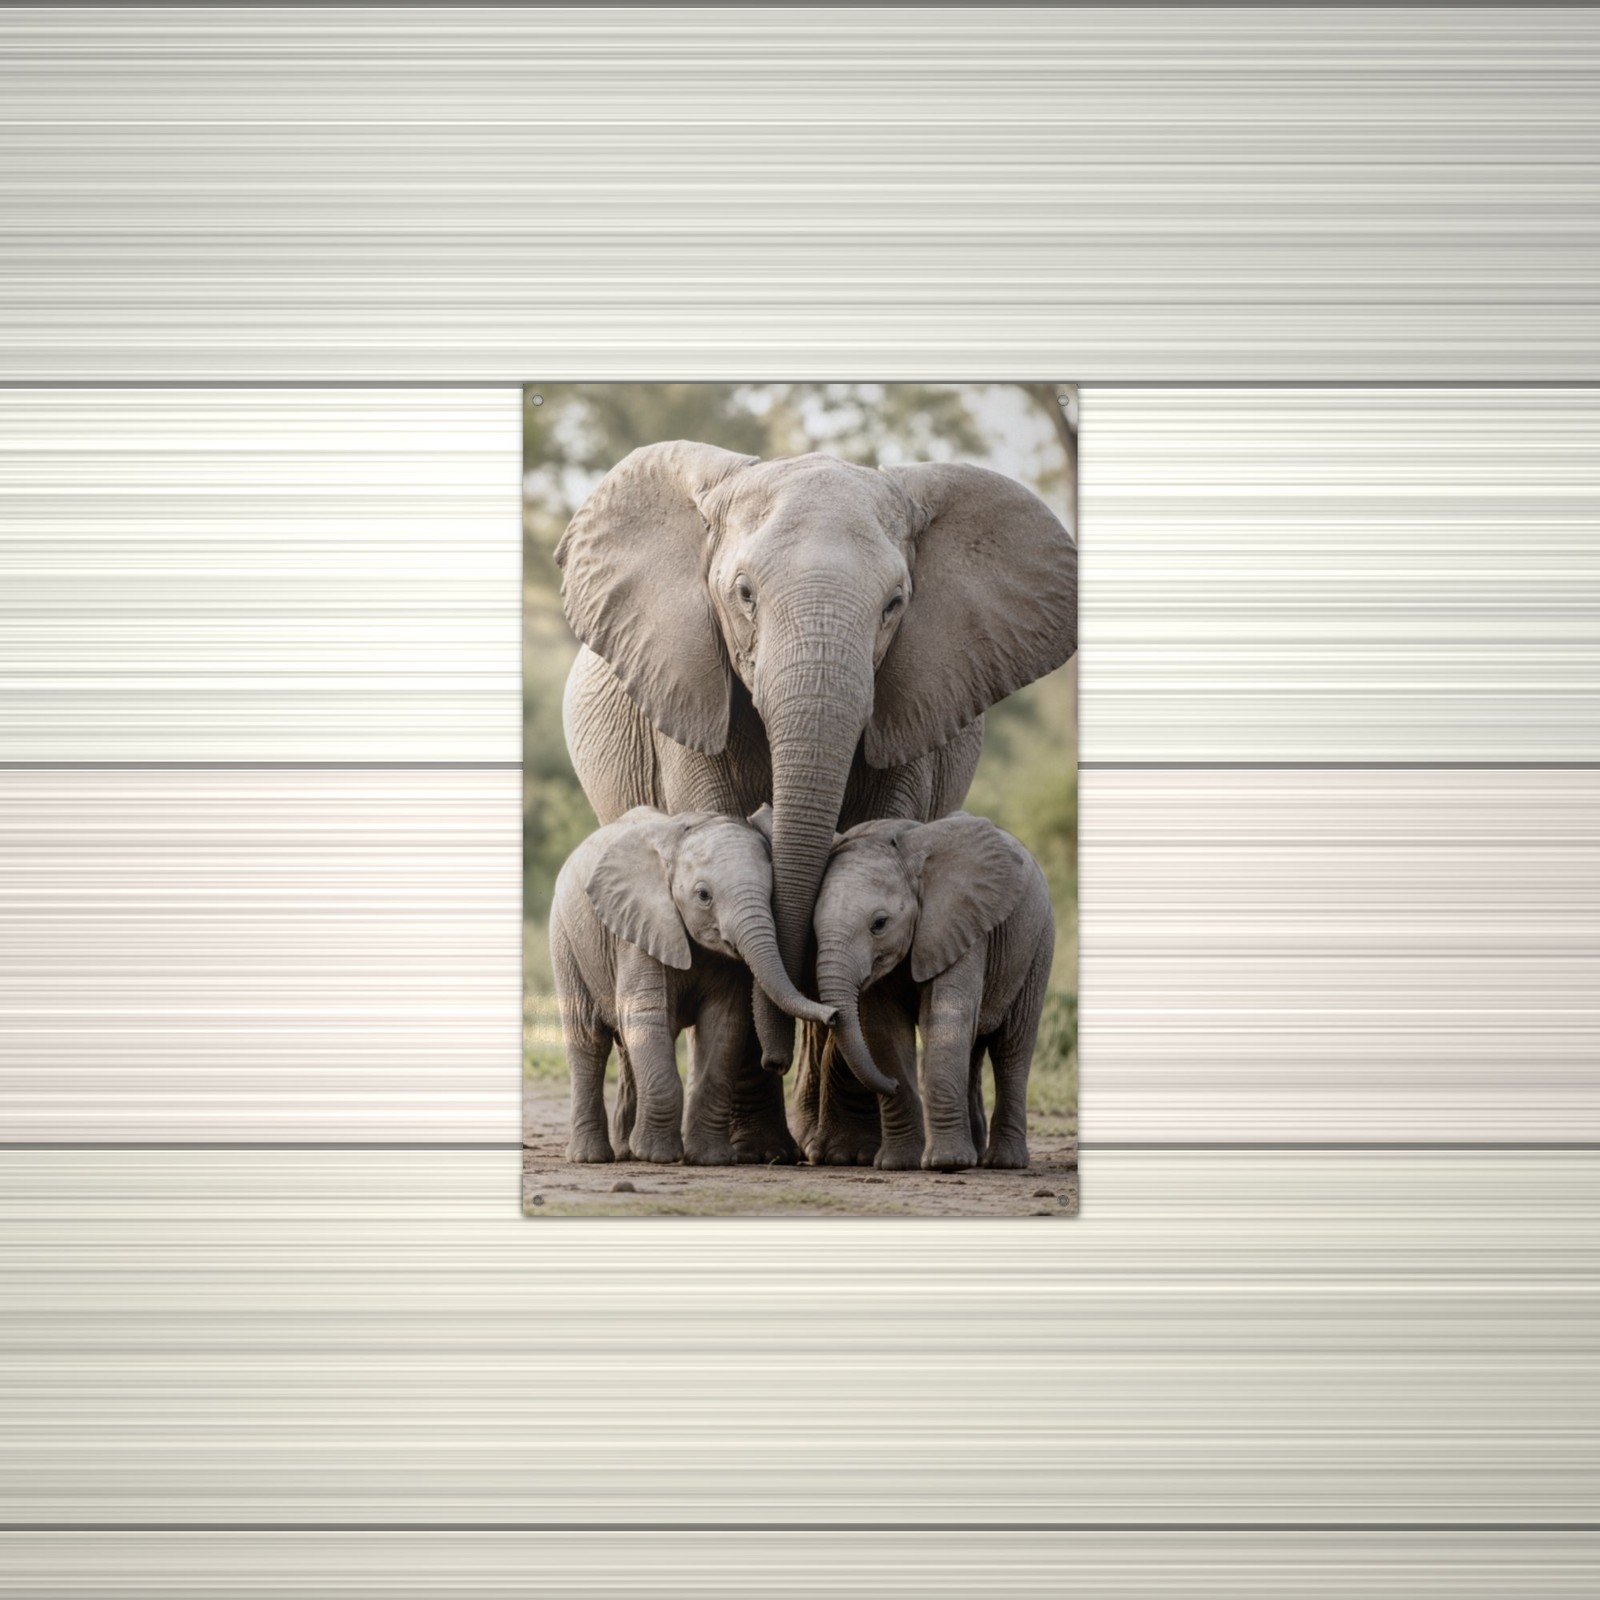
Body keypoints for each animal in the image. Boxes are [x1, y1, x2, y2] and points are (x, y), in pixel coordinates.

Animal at [549, 807, 835, 1165]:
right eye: (703, 896)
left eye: (772, 894)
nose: (834, 1015)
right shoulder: (640, 929)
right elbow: (647, 1016)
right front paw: (657, 1156)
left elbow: (724, 1025)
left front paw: (711, 1159)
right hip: (566, 940)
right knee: (588, 1039)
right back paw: (591, 1157)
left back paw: (627, 1151)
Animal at [811, 813, 1055, 1172]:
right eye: (813, 928)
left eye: (879, 924)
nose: (893, 1084)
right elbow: (884, 1031)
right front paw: (898, 1164)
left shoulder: (961, 925)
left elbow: (944, 1020)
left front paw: (947, 1162)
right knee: (975, 1049)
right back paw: (977, 1155)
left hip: (1038, 943)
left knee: (1011, 1048)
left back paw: (1003, 1162)